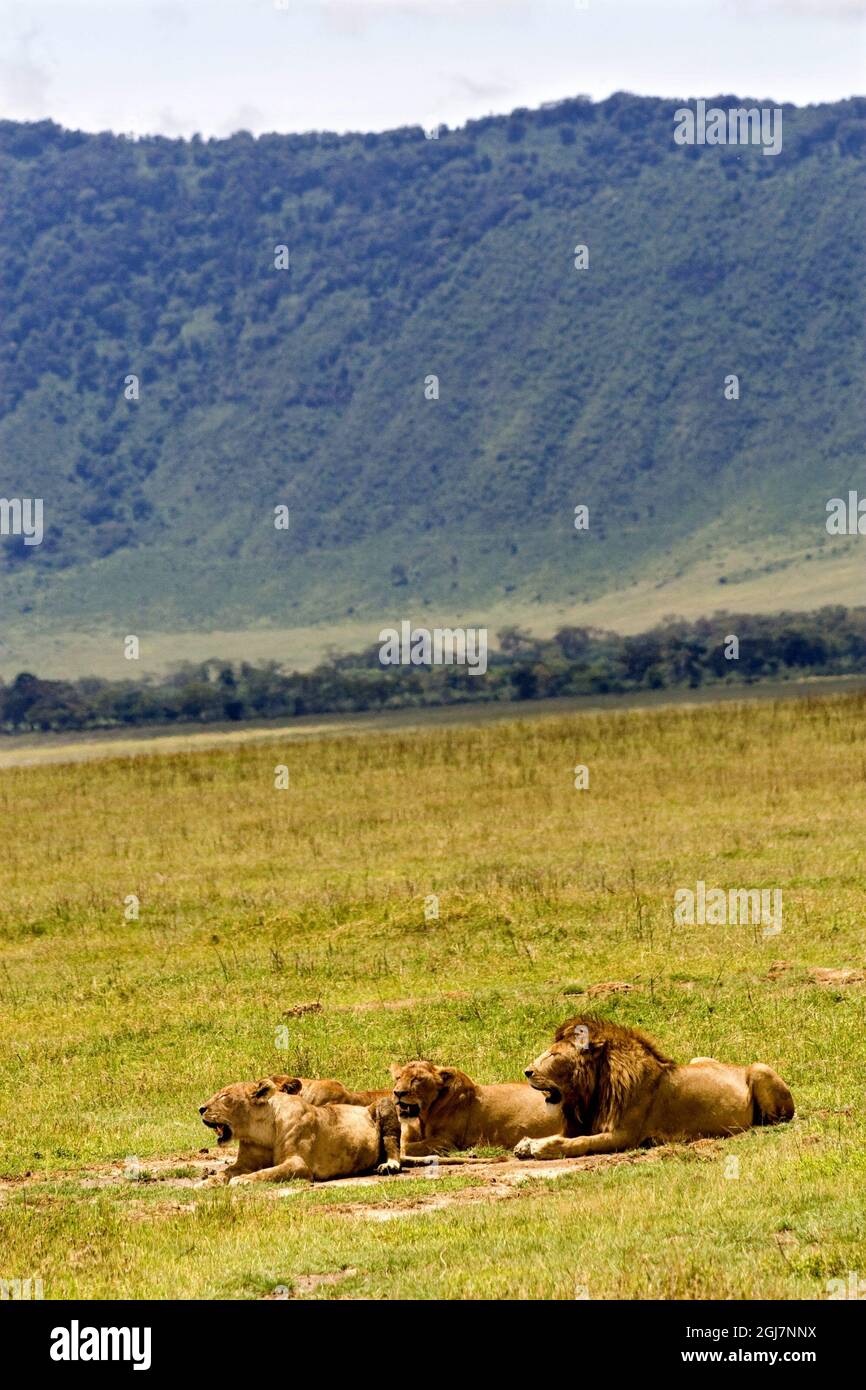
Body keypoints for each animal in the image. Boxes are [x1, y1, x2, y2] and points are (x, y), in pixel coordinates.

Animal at [198, 1073, 403, 1184]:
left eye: (224, 1096)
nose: (200, 1109)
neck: (259, 1131)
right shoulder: (245, 1163)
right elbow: (226, 1171)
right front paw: (209, 1181)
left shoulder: (299, 1164)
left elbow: (270, 1172)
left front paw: (245, 1180)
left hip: (385, 1104)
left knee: (393, 1145)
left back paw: (389, 1165)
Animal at [391, 1056, 567, 1156]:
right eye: (398, 1078)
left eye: (417, 1079)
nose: (398, 1092)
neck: (424, 1116)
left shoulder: (447, 1142)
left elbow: (407, 1148)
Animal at [514, 1017, 795, 1156]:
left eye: (553, 1055)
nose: (527, 1071)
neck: (593, 1092)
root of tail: (738, 1065)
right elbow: (570, 1136)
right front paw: (527, 1143)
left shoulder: (625, 1135)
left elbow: (581, 1143)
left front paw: (544, 1147)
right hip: (699, 1059)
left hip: (760, 1068)